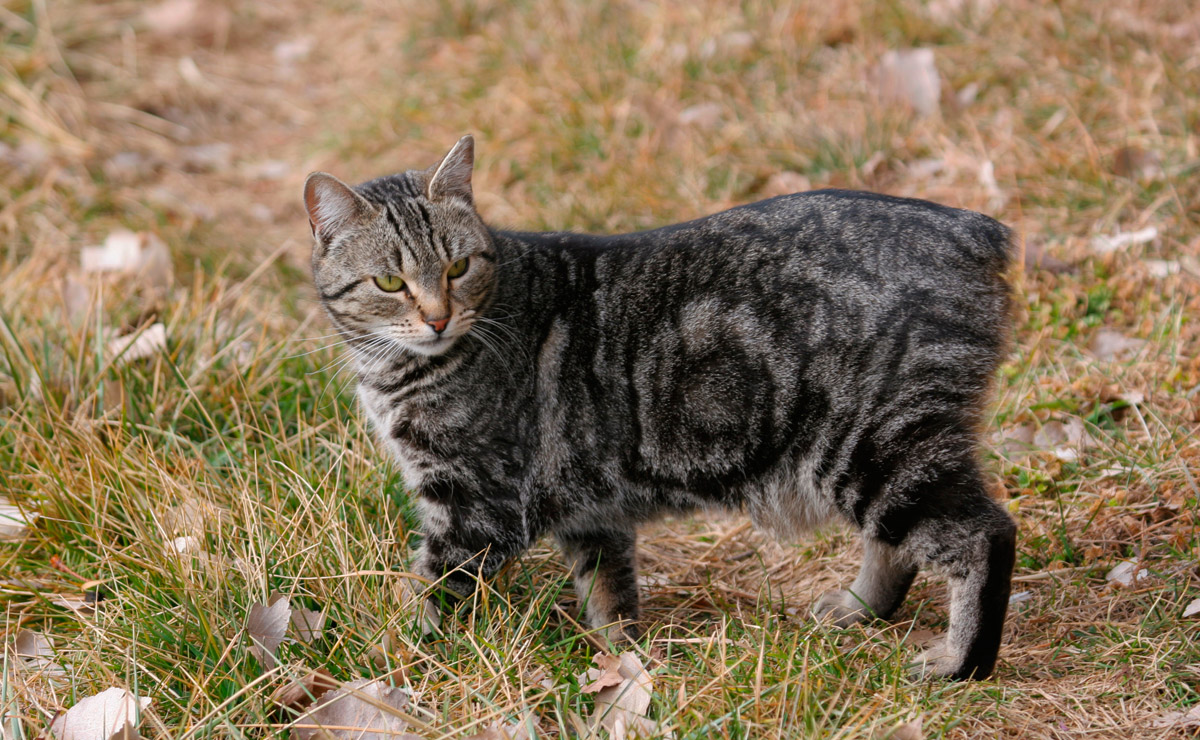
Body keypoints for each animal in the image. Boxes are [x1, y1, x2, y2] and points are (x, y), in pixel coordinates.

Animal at [304, 135, 1017, 676]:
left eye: (457, 269)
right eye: (390, 282)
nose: (437, 317)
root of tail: (972, 225)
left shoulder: (476, 508)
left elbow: (422, 595)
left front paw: (380, 656)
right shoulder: (589, 510)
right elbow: (610, 597)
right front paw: (623, 665)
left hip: (874, 446)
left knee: (983, 535)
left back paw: (959, 662)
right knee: (898, 545)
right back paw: (856, 609)